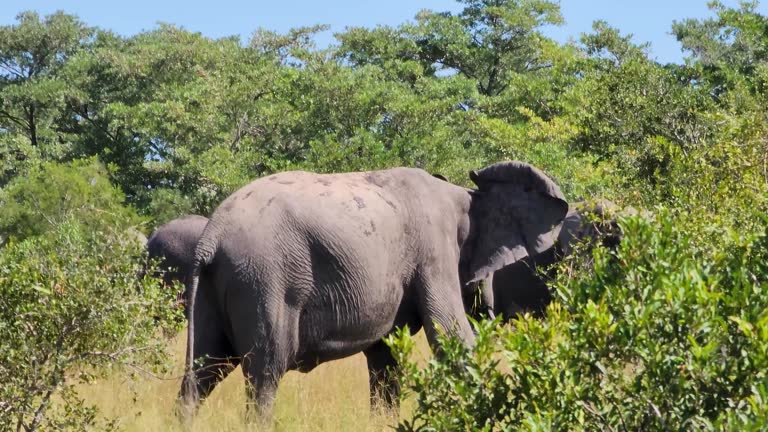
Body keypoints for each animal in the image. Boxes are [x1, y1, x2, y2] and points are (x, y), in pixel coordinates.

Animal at [177, 160, 568, 420]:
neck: (464, 194)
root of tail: (212, 236)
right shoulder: (433, 249)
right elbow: (449, 332)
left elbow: (386, 359)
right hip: (263, 280)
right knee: (265, 373)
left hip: (217, 285)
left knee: (202, 372)